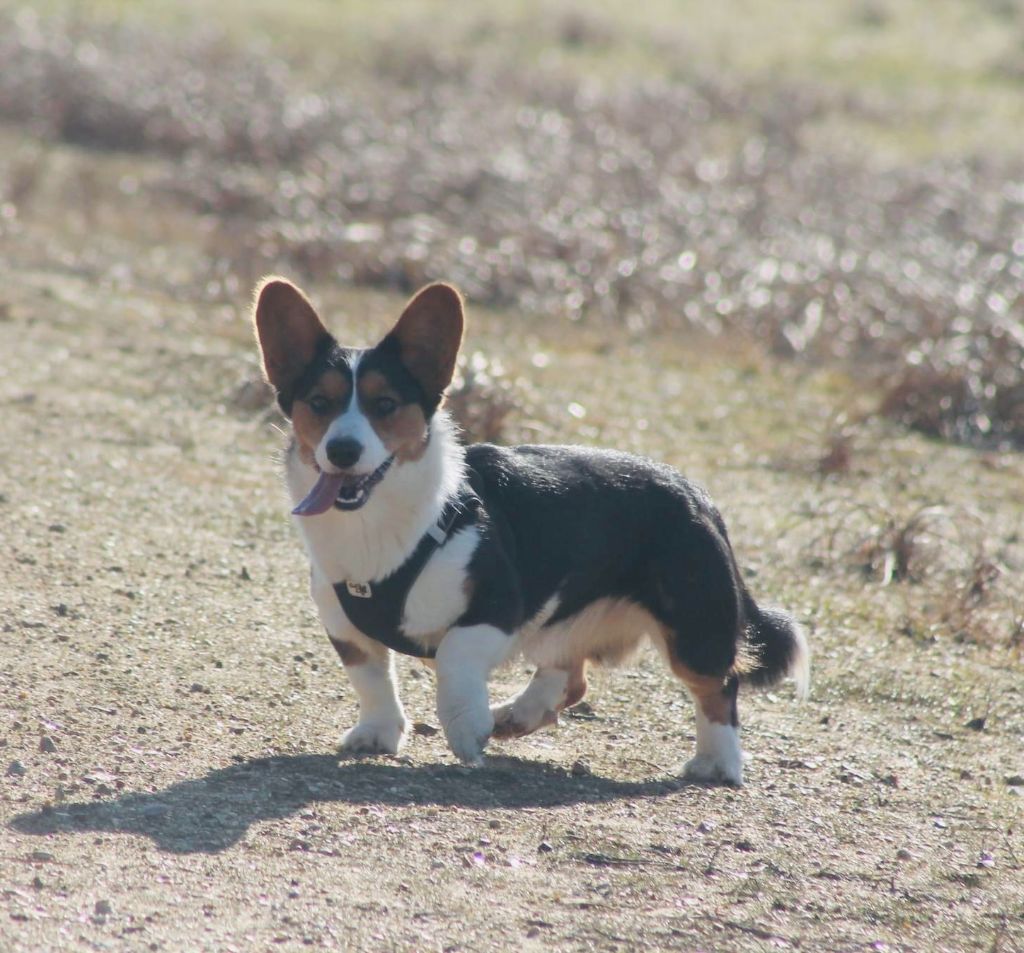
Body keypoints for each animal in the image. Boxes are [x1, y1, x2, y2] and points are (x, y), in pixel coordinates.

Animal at [253, 280, 806, 786]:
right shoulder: (345, 627)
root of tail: (698, 495)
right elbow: (371, 679)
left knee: (719, 688)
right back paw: (515, 715)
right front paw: (379, 733)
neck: (376, 528)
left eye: (384, 404)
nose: (342, 451)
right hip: (566, 621)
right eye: (319, 403)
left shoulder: (498, 606)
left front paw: (466, 727)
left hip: (693, 627)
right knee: (569, 678)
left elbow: (452, 657)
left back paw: (718, 764)